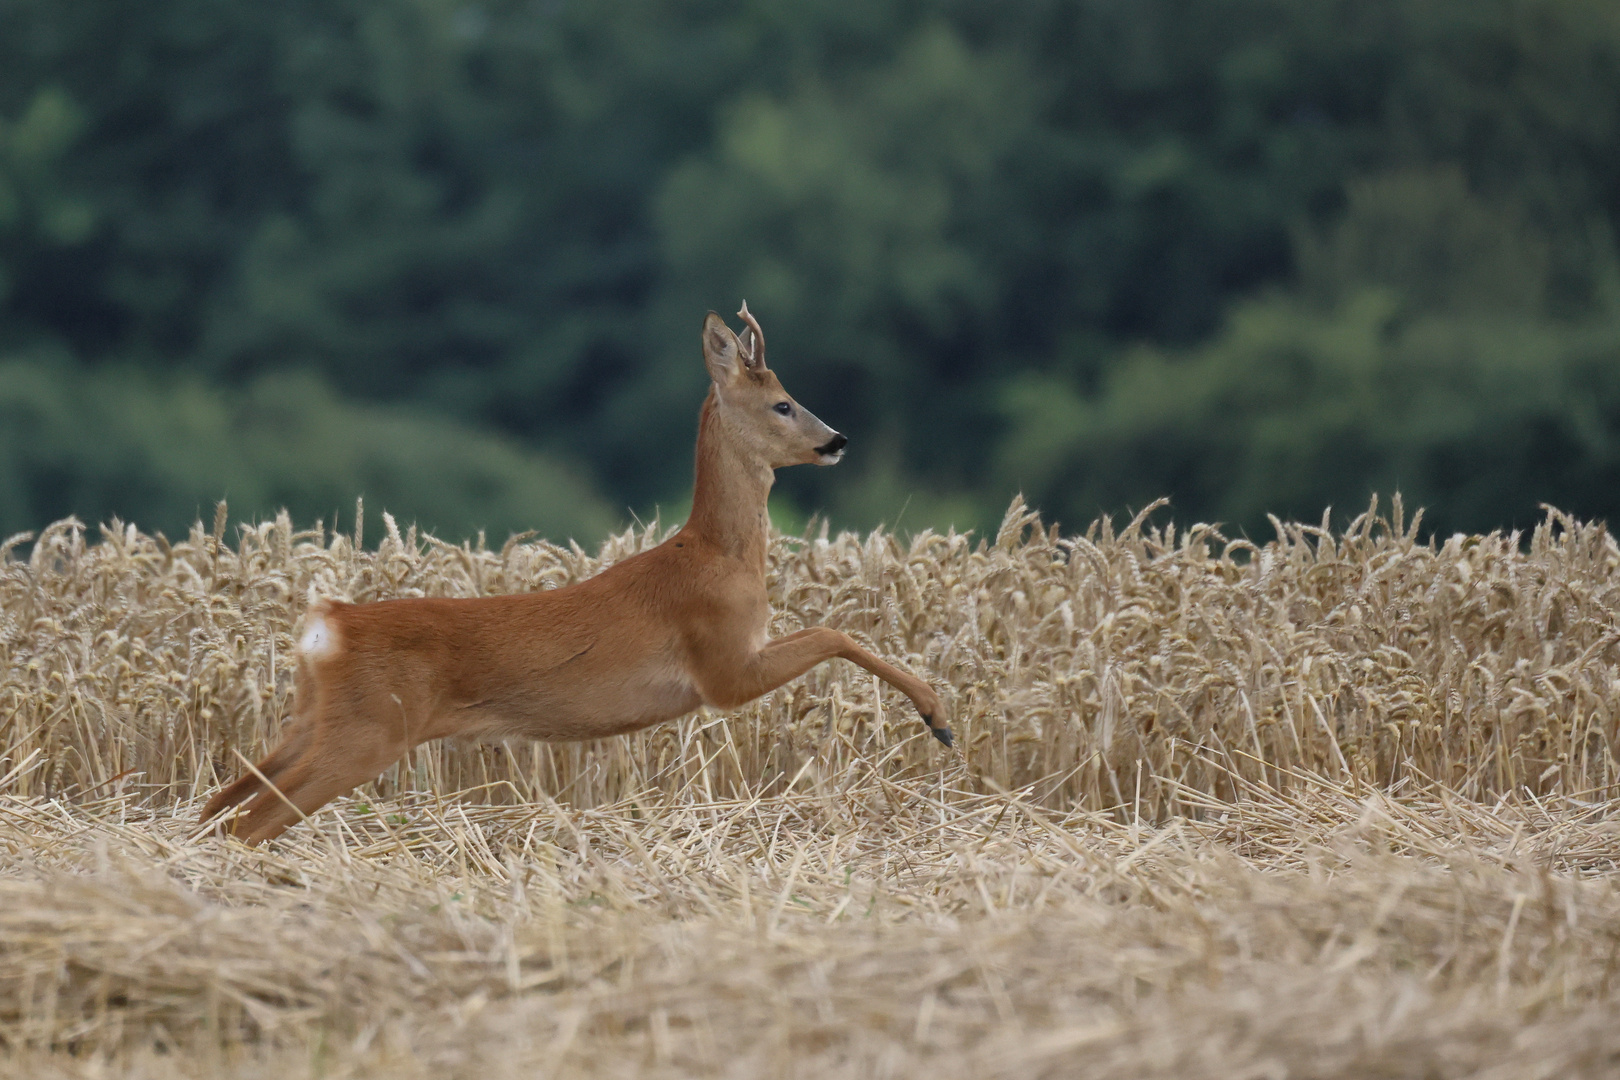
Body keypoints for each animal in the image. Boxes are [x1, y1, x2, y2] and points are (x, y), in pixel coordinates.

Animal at [208, 304, 952, 841]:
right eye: (783, 404)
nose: (838, 440)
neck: (718, 555)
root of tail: (326, 623)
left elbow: (836, 633)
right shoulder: (722, 668)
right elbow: (836, 633)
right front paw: (938, 716)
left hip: (315, 718)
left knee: (224, 800)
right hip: (369, 730)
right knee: (249, 821)